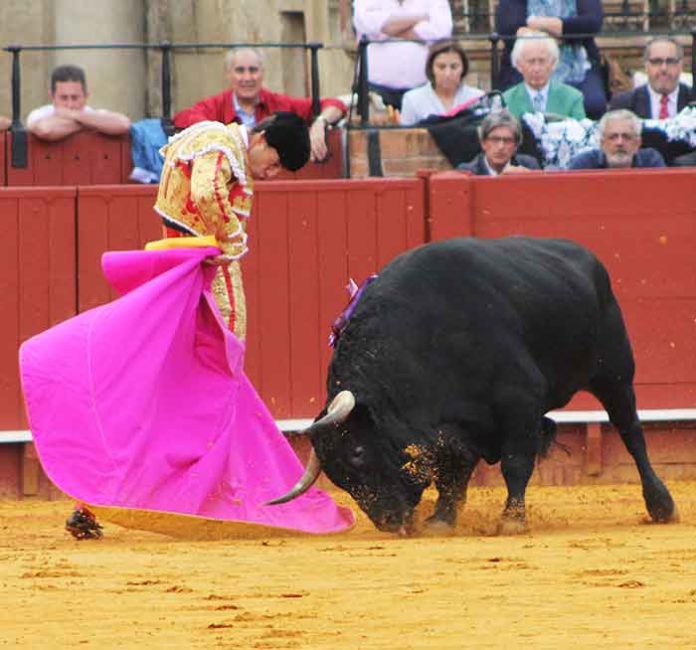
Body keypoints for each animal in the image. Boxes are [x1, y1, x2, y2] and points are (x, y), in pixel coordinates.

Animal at [270, 237, 676, 532]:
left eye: (356, 451)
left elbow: (515, 462)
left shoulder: (519, 401)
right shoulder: (456, 425)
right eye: (335, 474)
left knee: (631, 432)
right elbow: (454, 470)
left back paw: (661, 505)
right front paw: (441, 519)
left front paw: (511, 520)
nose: (388, 521)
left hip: (614, 374)